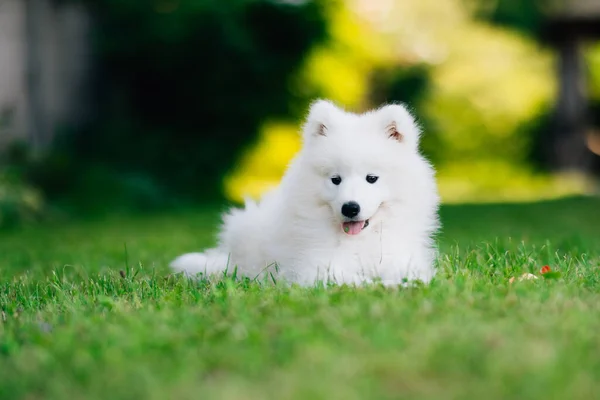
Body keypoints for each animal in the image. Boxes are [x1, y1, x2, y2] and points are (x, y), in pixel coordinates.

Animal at [170, 101, 440, 288]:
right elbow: (352, 280)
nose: (350, 208)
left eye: (371, 178)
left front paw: (403, 282)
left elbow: (408, 272)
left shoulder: (399, 256)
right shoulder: (318, 267)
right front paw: (380, 286)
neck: (359, 241)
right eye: (335, 179)